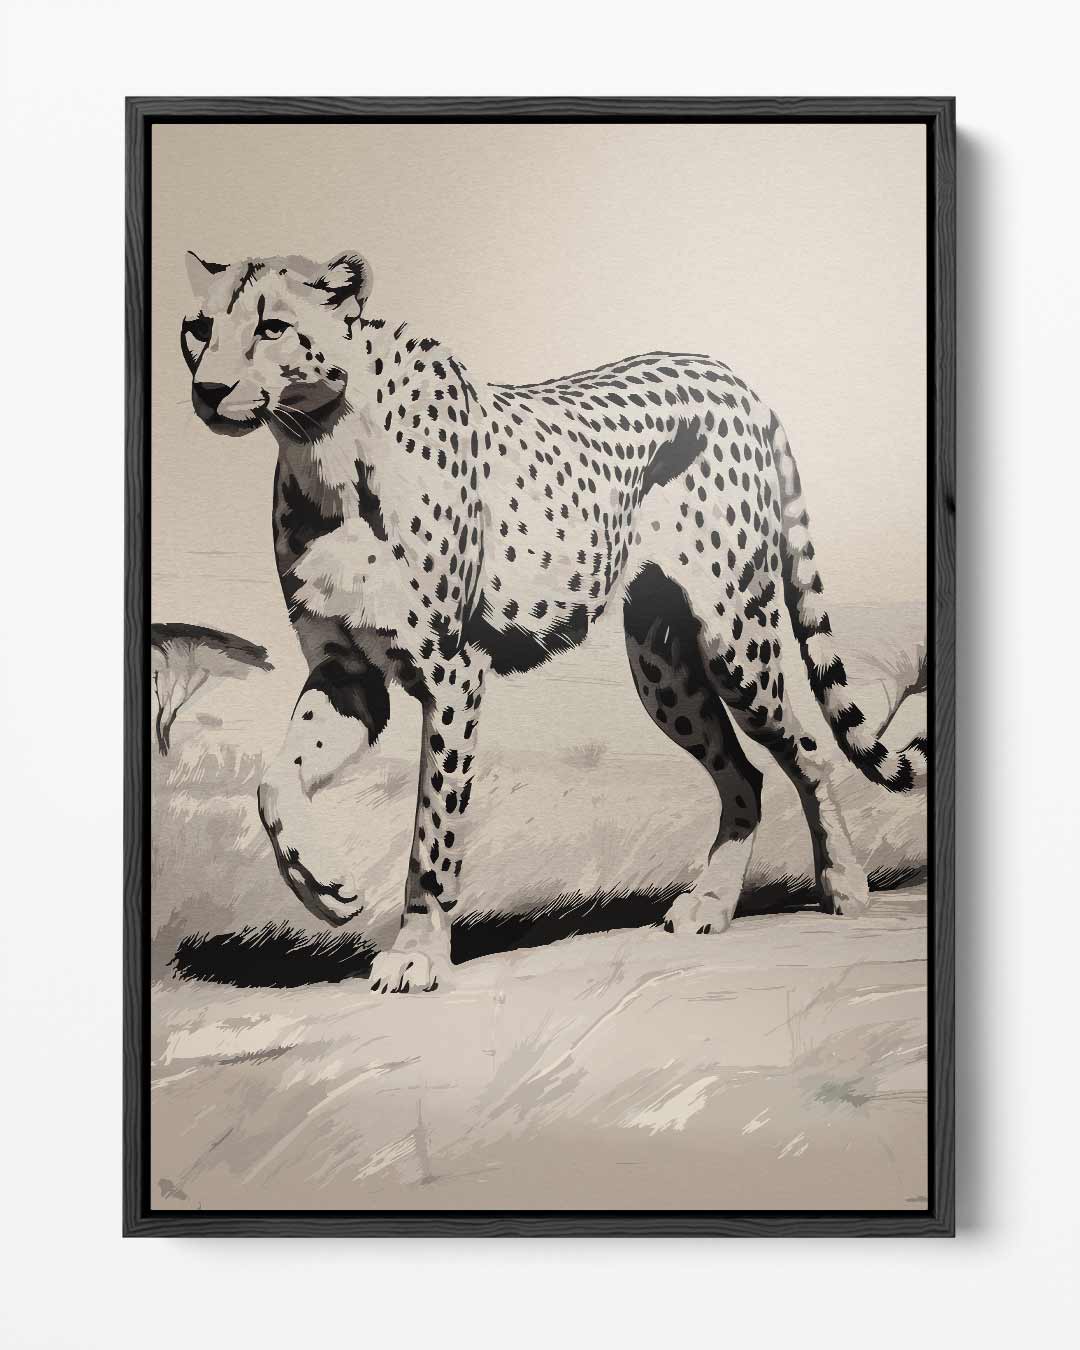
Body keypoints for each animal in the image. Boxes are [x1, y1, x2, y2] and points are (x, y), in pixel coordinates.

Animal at [180, 249, 927, 995]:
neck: (325, 446)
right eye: (198, 327)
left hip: (735, 639)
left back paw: (844, 886)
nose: (209, 390)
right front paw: (326, 890)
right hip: (663, 669)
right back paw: (711, 904)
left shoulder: (452, 672)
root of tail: (733, 378)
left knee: (807, 750)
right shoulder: (348, 675)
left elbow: (432, 829)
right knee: (744, 775)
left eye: (273, 326)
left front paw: (418, 951)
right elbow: (274, 782)